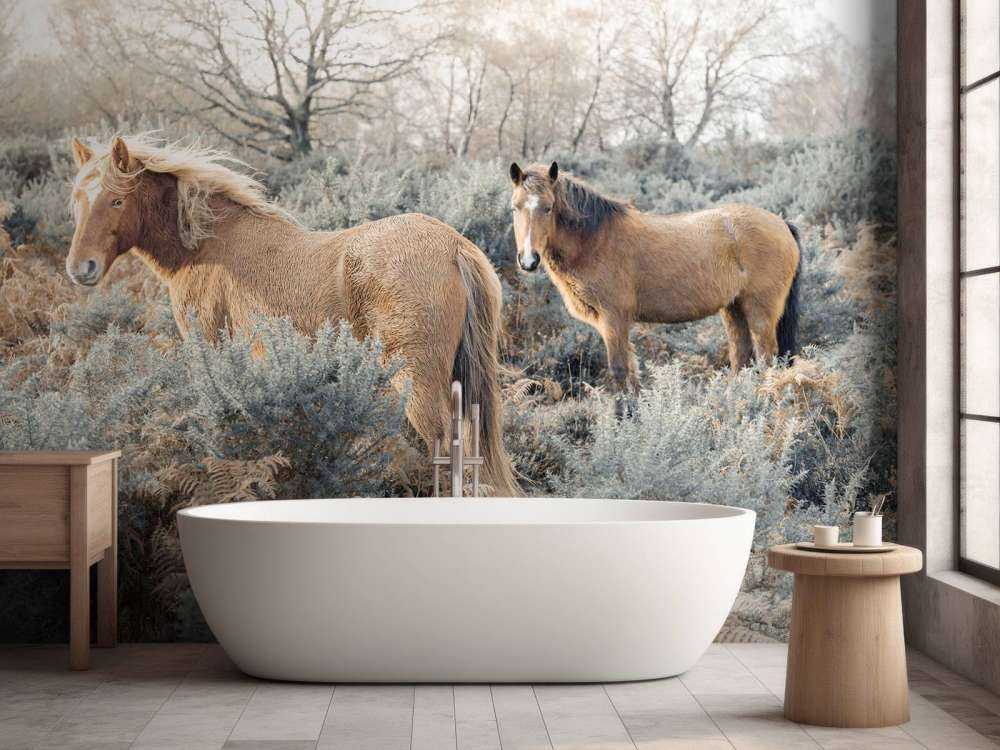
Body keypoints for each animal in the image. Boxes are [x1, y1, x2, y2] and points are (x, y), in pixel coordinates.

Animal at [64, 134, 520, 496]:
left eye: (117, 199)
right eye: (78, 201)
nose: (81, 268)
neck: (207, 246)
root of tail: (454, 246)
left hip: (417, 381)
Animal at [508, 161, 801, 392]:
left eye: (548, 207)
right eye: (515, 208)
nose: (528, 260)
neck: (596, 239)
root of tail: (781, 223)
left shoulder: (614, 319)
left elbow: (619, 371)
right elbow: (631, 373)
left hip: (760, 313)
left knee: (767, 360)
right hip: (734, 309)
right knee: (742, 359)